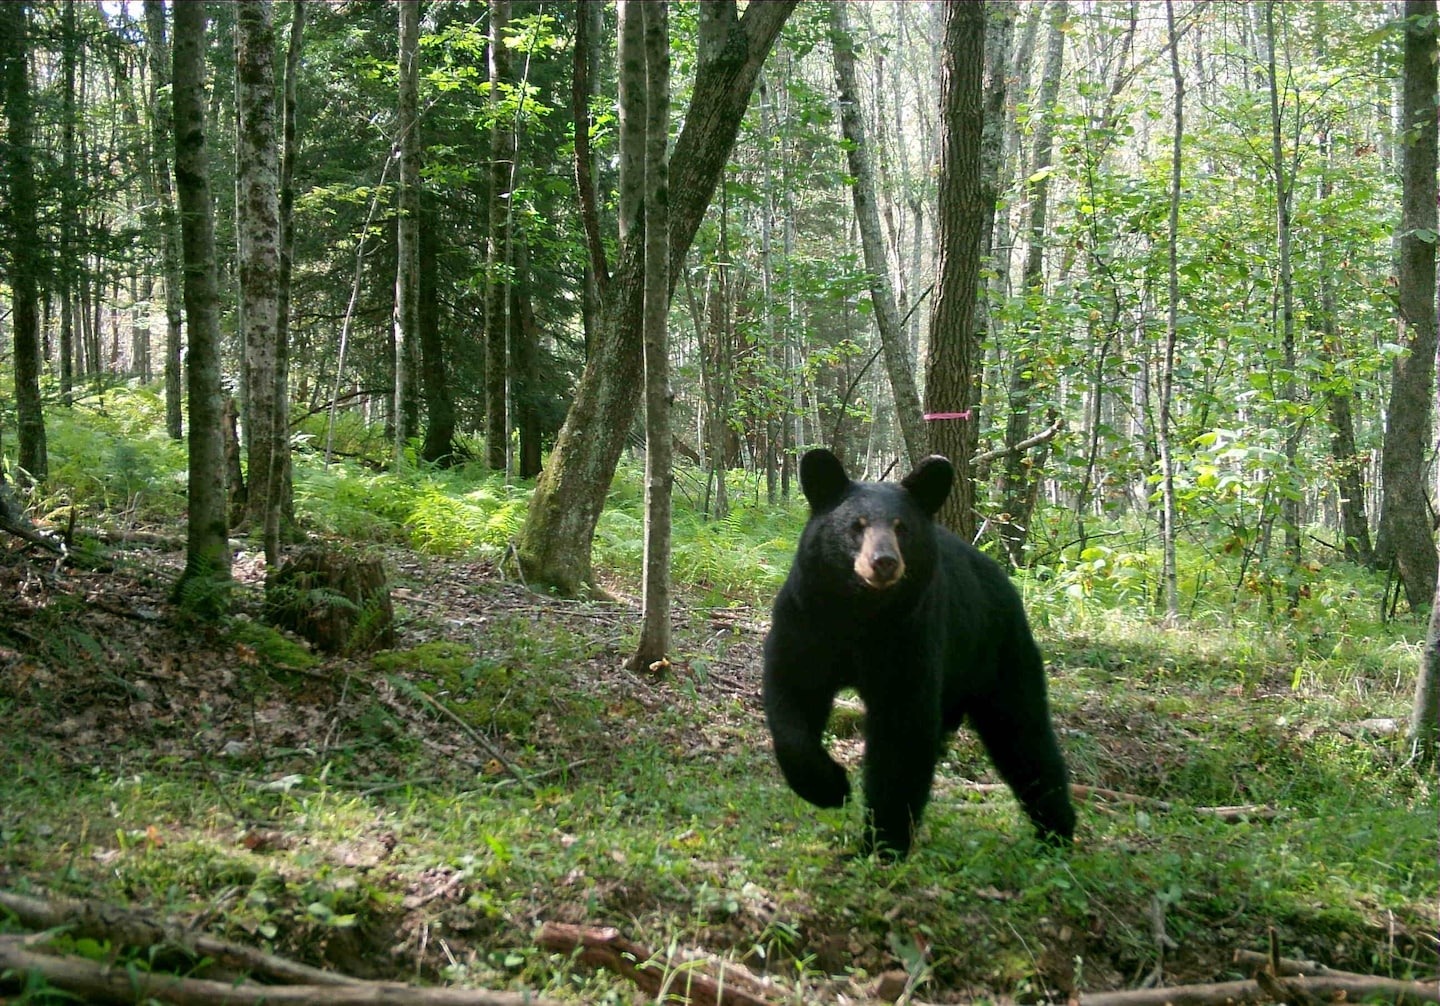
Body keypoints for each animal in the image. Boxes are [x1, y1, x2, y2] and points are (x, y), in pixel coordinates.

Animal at [762, 448, 1075, 859]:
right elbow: (793, 697)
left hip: (997, 652)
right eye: (857, 525)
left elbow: (901, 734)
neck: (860, 615)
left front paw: (884, 843)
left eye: (901, 527)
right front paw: (830, 786)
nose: (884, 561)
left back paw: (1057, 834)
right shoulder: (807, 620)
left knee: (1025, 737)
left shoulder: (910, 637)